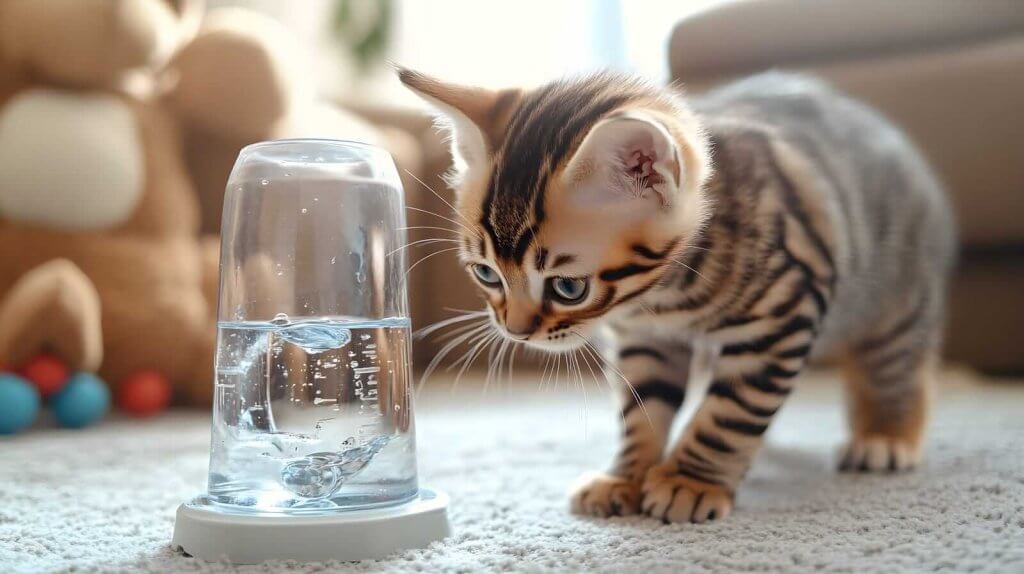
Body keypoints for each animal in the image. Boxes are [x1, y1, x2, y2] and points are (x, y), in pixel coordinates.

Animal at [397, 68, 950, 523]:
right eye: (487, 275)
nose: (516, 330)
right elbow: (643, 411)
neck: (663, 298)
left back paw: (883, 436)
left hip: (896, 300)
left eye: (568, 287)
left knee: (897, 367)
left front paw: (690, 481)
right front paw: (625, 477)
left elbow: (730, 412)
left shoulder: (781, 318)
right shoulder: (646, 341)